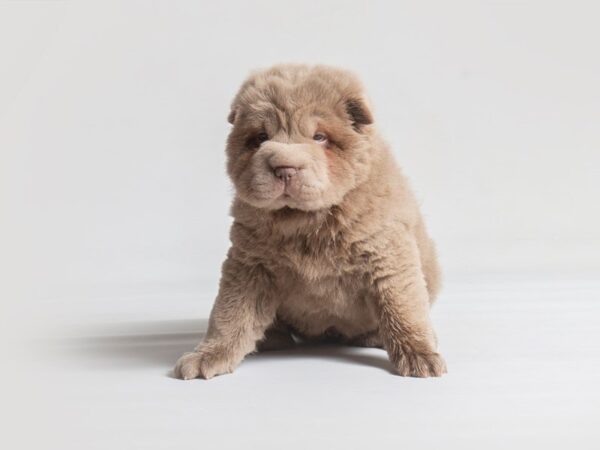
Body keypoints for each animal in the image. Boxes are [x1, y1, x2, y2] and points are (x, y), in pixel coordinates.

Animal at [173, 64, 446, 380]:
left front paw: (420, 356)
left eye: (319, 137)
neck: (305, 221)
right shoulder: (249, 265)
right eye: (261, 137)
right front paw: (207, 355)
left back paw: (374, 337)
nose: (284, 168)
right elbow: (230, 313)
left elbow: (402, 307)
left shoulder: (387, 256)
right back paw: (270, 338)